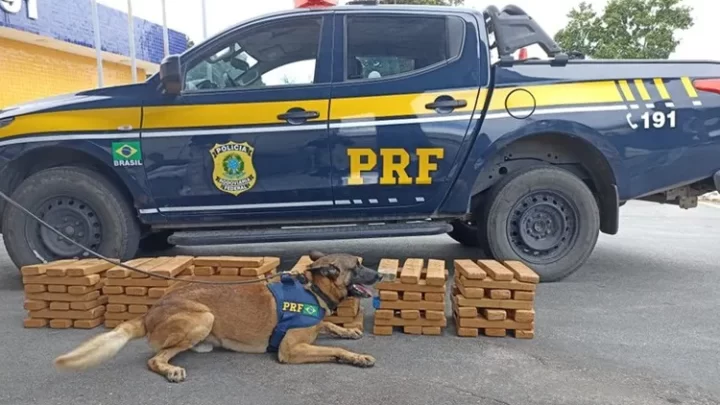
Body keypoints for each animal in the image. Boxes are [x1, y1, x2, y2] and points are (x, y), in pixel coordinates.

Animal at [52, 249, 382, 382]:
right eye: (358, 266)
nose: (379, 275)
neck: (312, 289)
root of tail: (150, 312)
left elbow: (329, 326)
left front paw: (348, 331)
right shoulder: (290, 349)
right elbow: (334, 349)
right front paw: (357, 357)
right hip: (203, 318)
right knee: (155, 359)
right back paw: (170, 369)